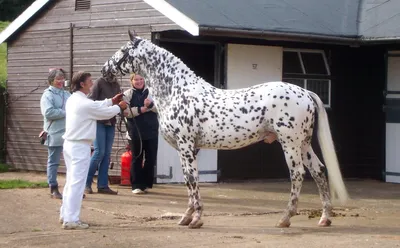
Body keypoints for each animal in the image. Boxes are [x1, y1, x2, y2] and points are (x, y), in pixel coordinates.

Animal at [101, 30, 348, 230]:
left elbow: (192, 179)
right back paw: (325, 218)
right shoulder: (187, 149)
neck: (177, 91)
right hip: (303, 144)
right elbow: (189, 180)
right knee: (318, 171)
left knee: (297, 174)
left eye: (123, 50)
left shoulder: (186, 146)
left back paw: (285, 218)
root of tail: (305, 93)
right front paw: (187, 217)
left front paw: (196, 219)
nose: (105, 70)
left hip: (291, 143)